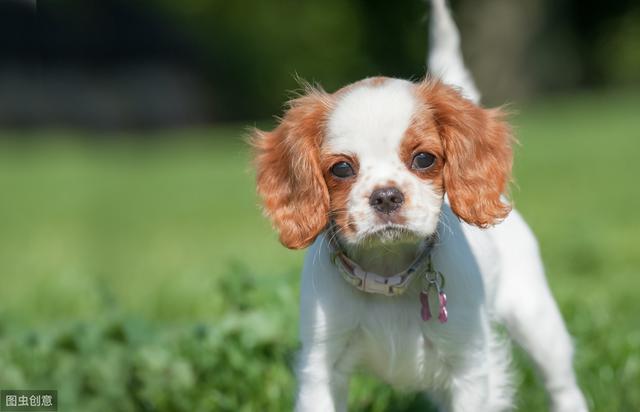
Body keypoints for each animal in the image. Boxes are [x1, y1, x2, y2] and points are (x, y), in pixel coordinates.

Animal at [252, 1, 588, 410]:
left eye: (424, 159)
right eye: (342, 168)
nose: (385, 196)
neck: (388, 274)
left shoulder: (469, 365)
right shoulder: (320, 367)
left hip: (536, 318)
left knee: (562, 383)